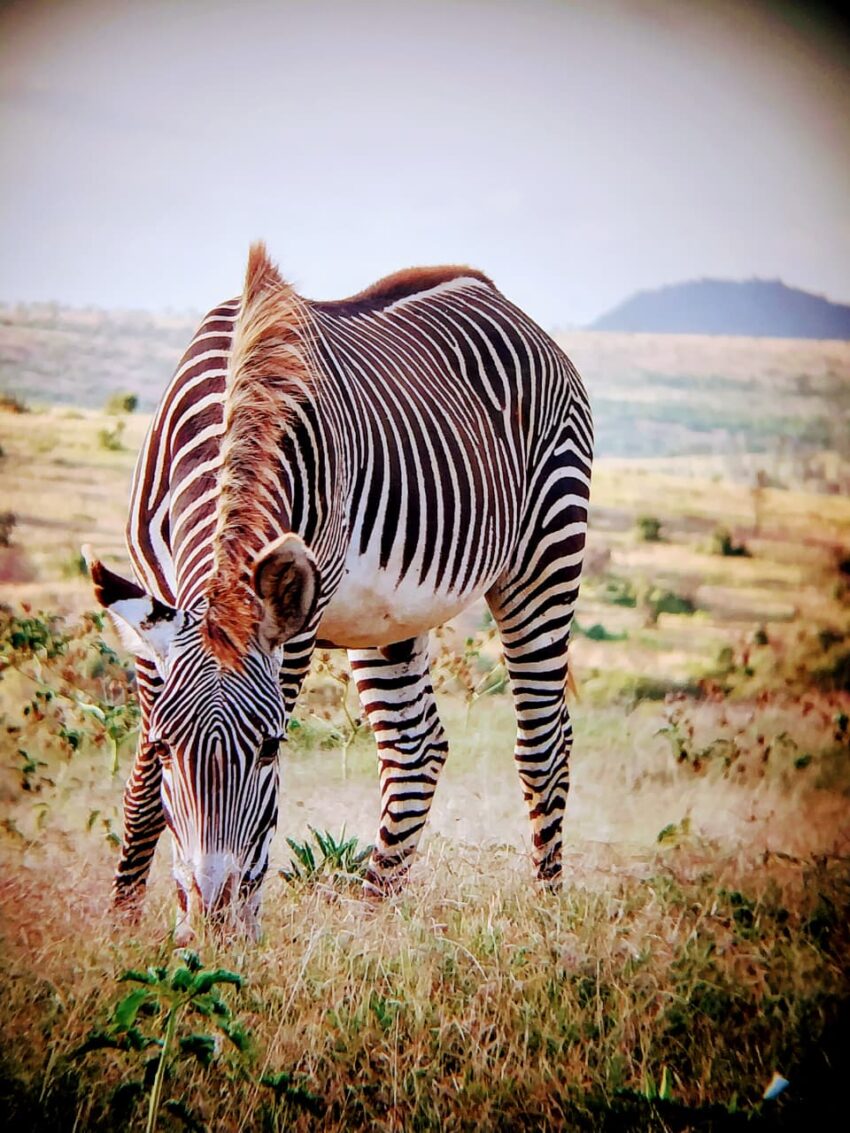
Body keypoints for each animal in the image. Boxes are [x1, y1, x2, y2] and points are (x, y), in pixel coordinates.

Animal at [89, 243, 592, 937]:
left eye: (271, 748)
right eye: (169, 749)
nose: (215, 922)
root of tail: (492, 292)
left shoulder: (294, 629)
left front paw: (241, 931)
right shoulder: (152, 617)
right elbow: (140, 787)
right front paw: (123, 922)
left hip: (547, 553)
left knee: (545, 741)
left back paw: (545, 914)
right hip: (393, 616)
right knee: (416, 749)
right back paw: (372, 918)